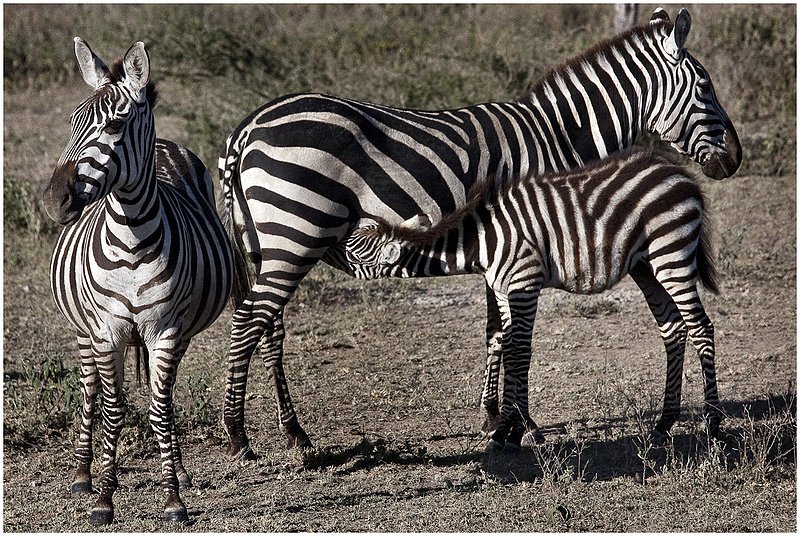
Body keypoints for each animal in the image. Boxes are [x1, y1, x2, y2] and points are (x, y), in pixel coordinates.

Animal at [42, 37, 233, 525]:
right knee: (91, 392)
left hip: (179, 333)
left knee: (163, 397)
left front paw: (173, 499)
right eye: (71, 122)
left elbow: (160, 410)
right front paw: (104, 499)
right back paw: (83, 475)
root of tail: (164, 144)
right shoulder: (107, 331)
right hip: (83, 330)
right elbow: (112, 411)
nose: (54, 200)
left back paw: (179, 470)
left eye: (116, 124)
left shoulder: (166, 330)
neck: (131, 242)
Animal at [340, 149, 721, 451]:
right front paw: (511, 428)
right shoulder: (503, 289)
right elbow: (507, 345)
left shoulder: (525, 282)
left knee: (701, 327)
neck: (481, 241)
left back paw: (714, 424)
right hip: (645, 266)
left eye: (353, 253)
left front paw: (511, 430)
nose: (329, 254)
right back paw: (664, 423)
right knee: (673, 329)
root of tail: (679, 173)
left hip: (671, 252)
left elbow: (519, 351)